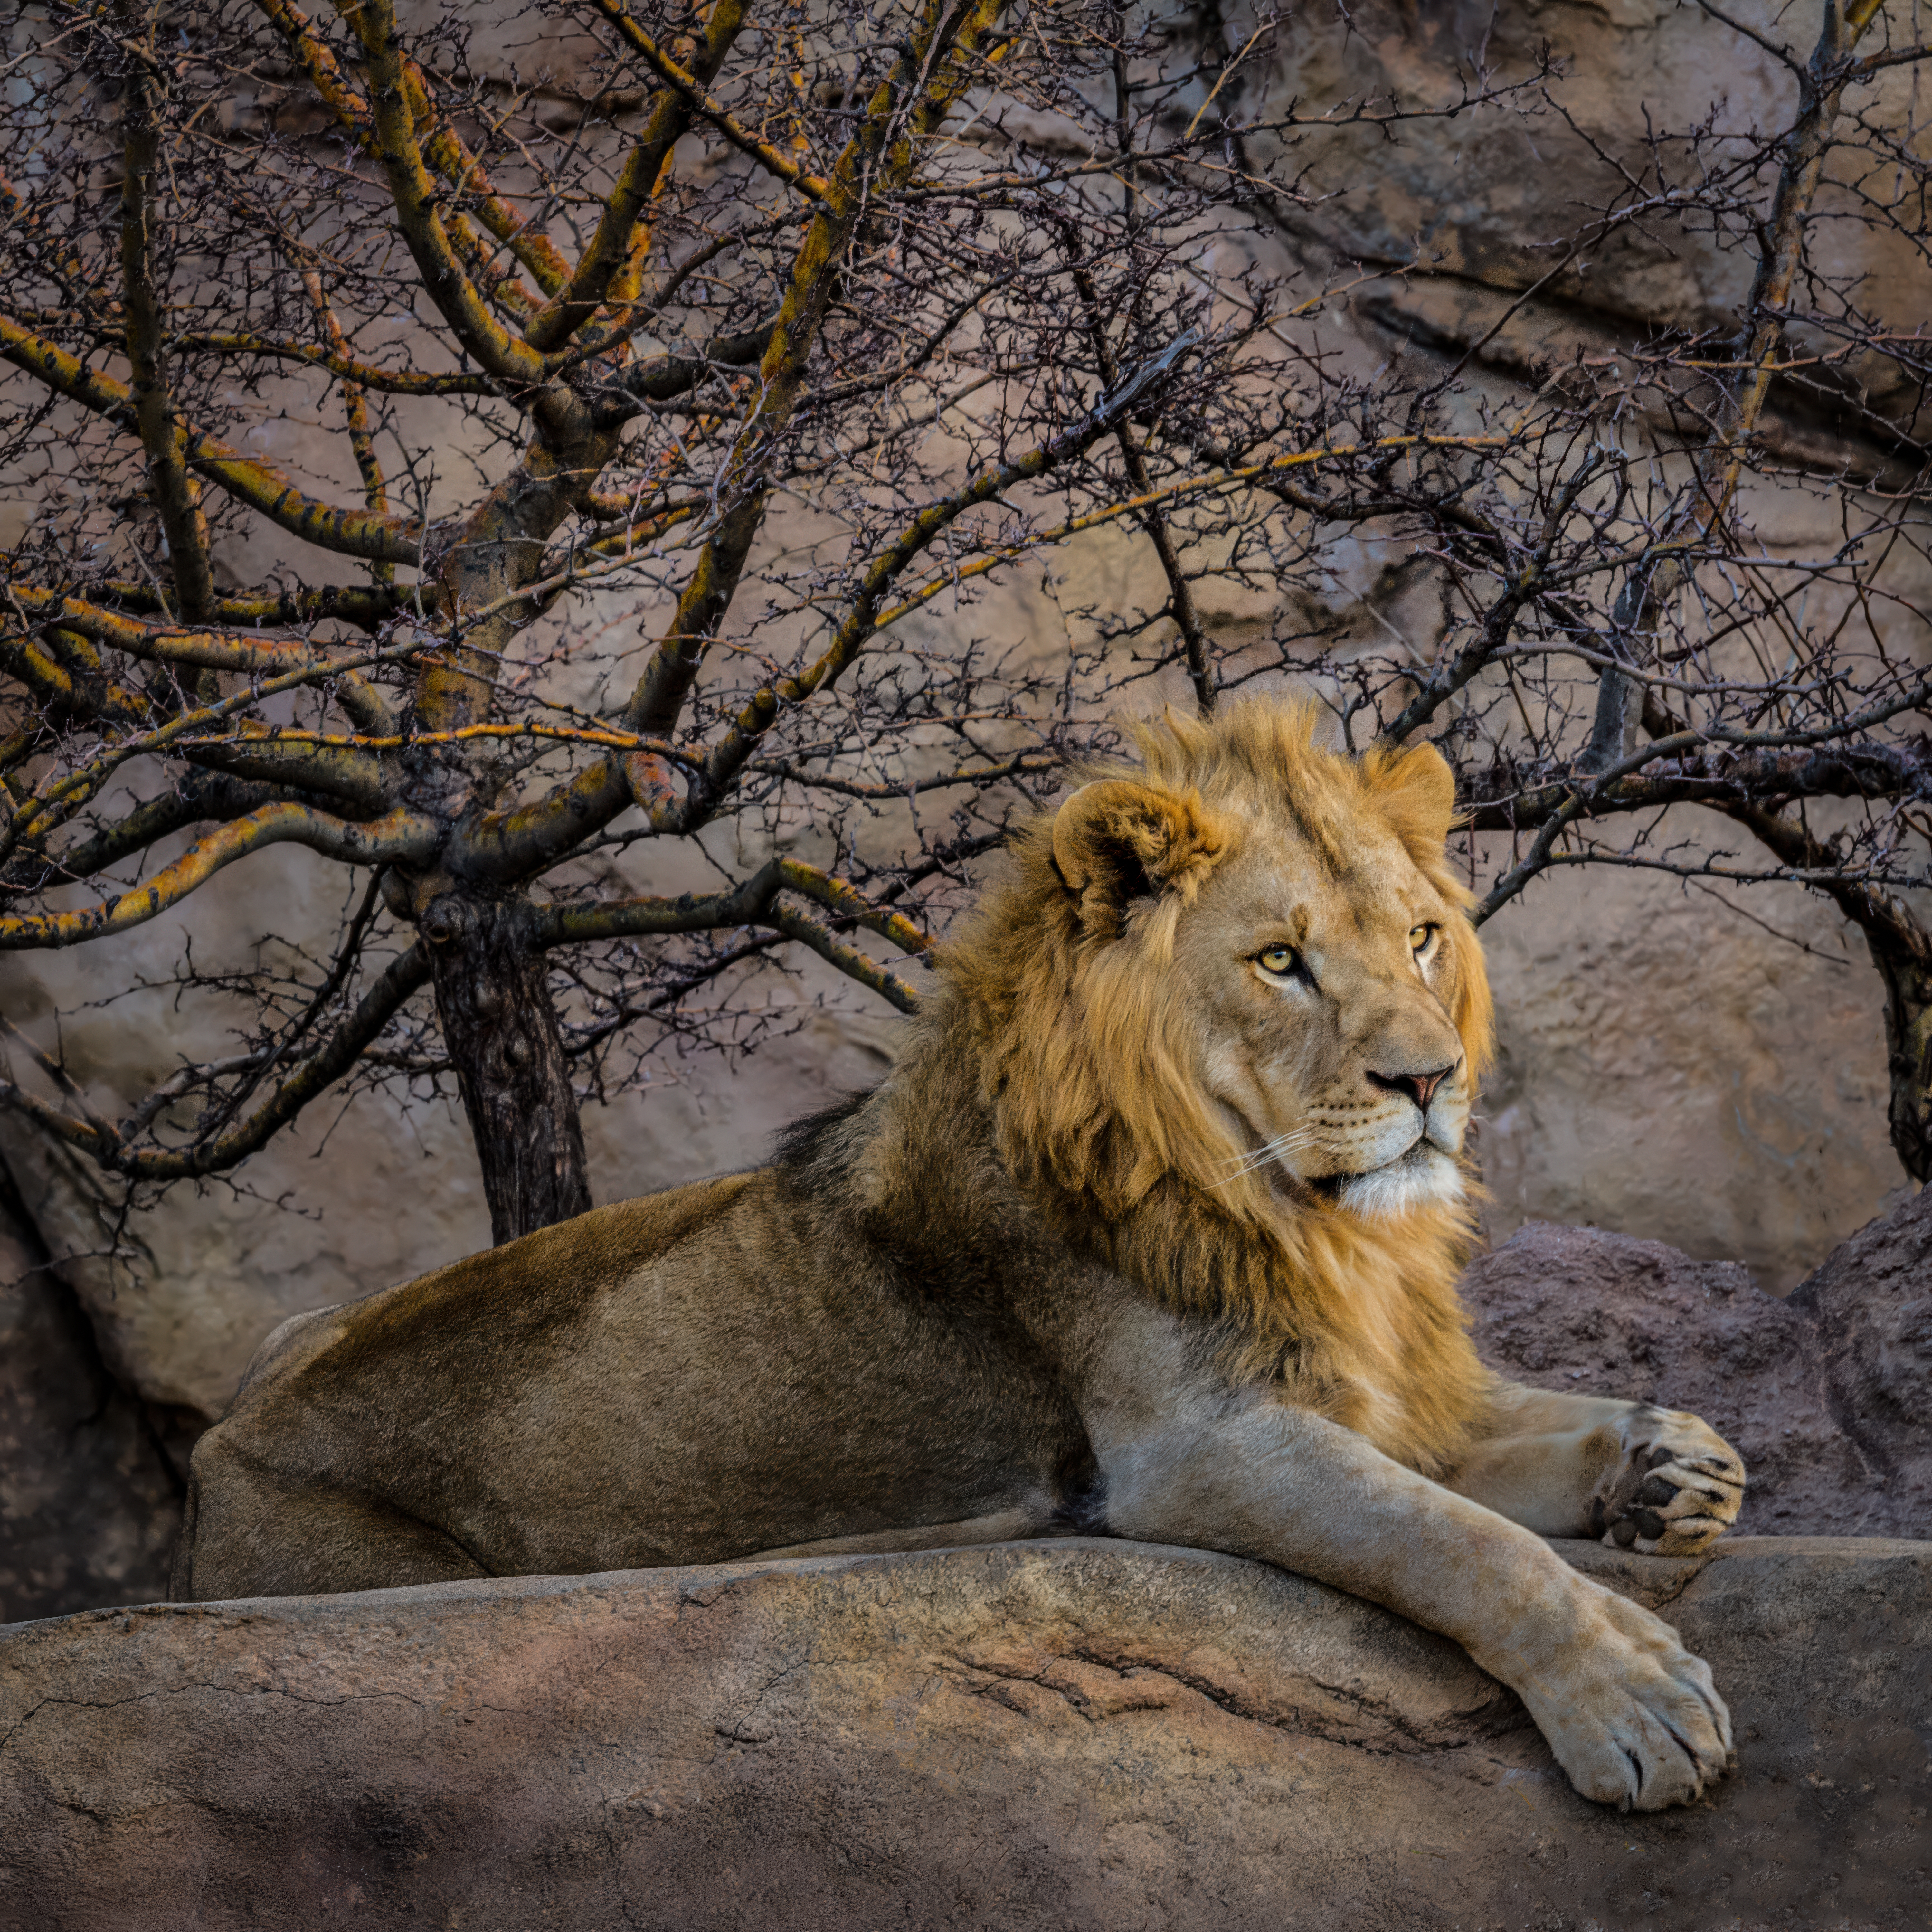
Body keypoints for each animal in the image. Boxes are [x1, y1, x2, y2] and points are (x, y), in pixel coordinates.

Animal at [175, 697, 1746, 1812]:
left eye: (1421, 937)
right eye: (1280, 961)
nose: (1431, 1079)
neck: (1314, 1225)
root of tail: (220, 1431)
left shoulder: (1368, 1379)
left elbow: (1521, 1434)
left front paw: (1670, 1466)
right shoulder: (1196, 1445)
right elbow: (1460, 1542)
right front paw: (1635, 1705)